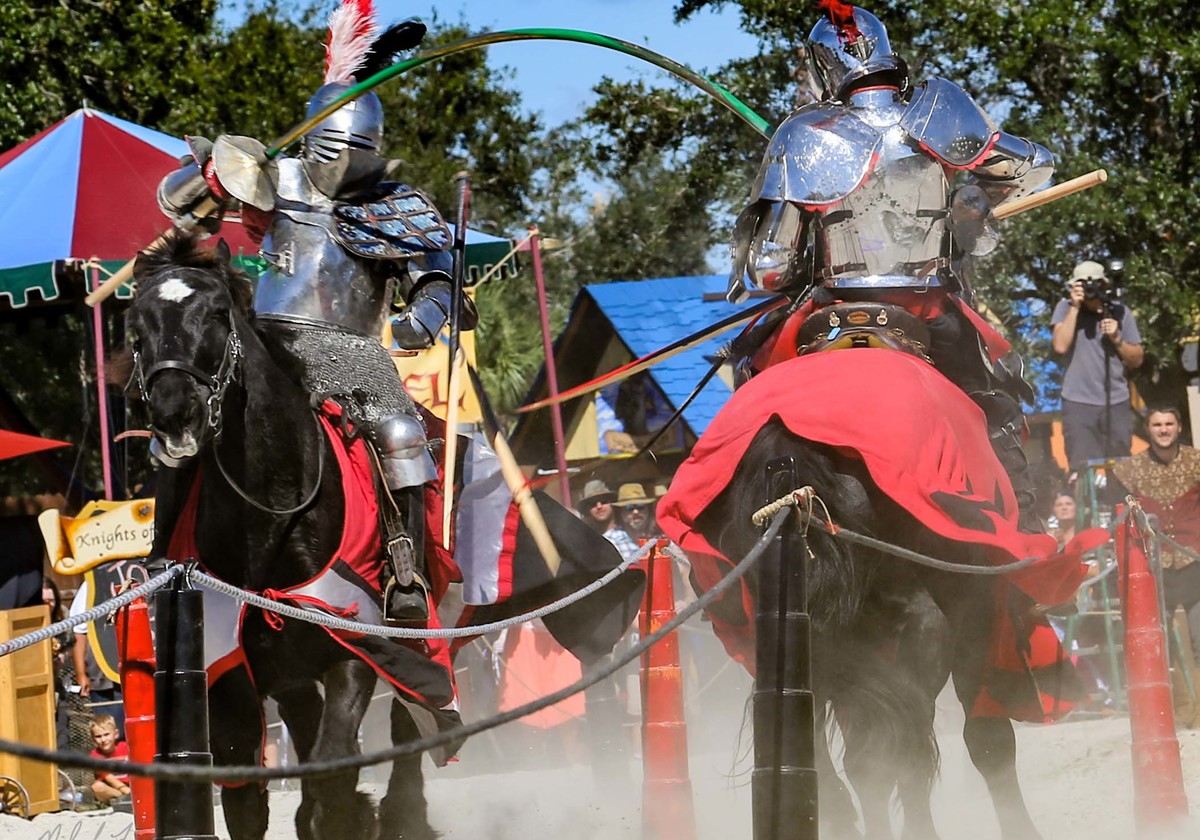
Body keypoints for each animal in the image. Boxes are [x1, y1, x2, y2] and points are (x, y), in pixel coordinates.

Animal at [120, 236, 446, 840]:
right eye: (136, 325)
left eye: (216, 314)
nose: (176, 414)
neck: (269, 517)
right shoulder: (230, 672)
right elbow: (247, 795)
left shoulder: (357, 645)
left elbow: (334, 769)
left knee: (408, 726)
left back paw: (401, 814)